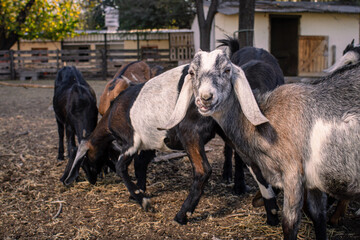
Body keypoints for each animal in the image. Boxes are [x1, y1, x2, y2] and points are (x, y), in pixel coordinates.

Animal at [61, 59, 282, 226]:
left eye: (85, 162)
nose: (92, 180)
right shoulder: (150, 143)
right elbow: (140, 165)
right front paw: (139, 191)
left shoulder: (132, 140)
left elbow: (122, 167)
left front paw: (143, 201)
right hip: (228, 129)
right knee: (255, 166)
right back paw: (272, 216)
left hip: (190, 132)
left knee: (203, 170)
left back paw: (182, 216)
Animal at [164, 49, 360, 240]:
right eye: (192, 72)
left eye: (227, 70)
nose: (206, 98)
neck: (268, 121)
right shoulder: (313, 183)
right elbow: (318, 217)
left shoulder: (293, 174)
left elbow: (289, 224)